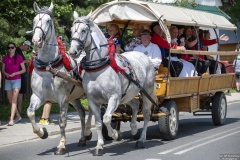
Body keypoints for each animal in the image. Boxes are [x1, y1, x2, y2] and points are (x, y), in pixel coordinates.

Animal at [27, 2, 92, 155]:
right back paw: (82, 138)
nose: (36, 40)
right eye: (34, 20)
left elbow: (62, 121)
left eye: (48, 21)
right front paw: (42, 132)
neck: (48, 65)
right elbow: (30, 113)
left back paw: (88, 133)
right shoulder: (39, 96)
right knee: (82, 113)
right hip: (75, 97)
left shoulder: (63, 98)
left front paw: (61, 145)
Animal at [68, 11, 157, 156]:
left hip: (146, 92)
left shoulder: (114, 98)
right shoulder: (93, 100)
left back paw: (141, 140)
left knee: (146, 113)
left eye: (84, 30)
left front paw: (114, 134)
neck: (98, 67)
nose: (72, 52)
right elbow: (99, 122)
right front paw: (99, 146)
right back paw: (133, 129)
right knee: (135, 104)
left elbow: (106, 118)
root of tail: (145, 57)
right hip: (127, 95)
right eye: (71, 30)